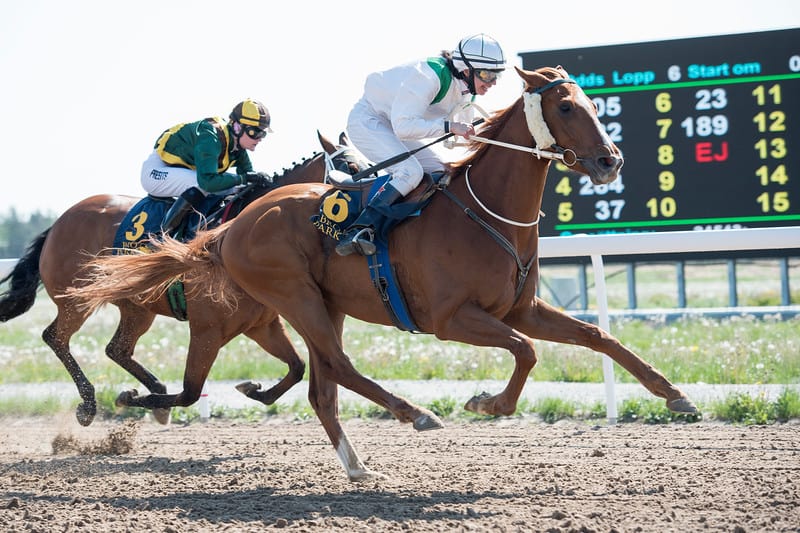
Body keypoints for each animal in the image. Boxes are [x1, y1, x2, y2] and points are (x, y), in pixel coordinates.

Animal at [0, 132, 368, 424]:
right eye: (348, 168)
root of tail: (57, 223)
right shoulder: (208, 326)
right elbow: (192, 392)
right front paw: (133, 399)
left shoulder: (261, 324)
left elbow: (296, 367)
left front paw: (254, 389)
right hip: (77, 299)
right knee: (55, 337)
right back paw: (89, 404)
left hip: (137, 308)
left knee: (116, 348)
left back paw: (153, 394)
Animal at [70, 66, 700, 478]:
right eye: (566, 107)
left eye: (593, 103)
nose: (610, 161)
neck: (485, 212)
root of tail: (233, 225)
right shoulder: (451, 318)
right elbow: (525, 352)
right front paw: (486, 404)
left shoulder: (519, 308)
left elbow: (598, 337)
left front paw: (674, 396)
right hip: (295, 297)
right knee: (339, 368)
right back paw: (415, 414)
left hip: (322, 305)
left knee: (323, 384)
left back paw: (356, 464)